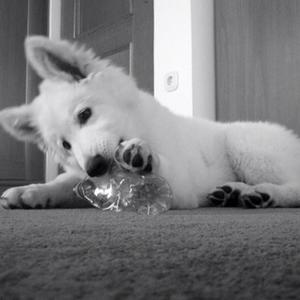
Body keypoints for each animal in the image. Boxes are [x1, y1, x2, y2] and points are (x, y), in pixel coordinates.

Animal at [0, 35, 300, 209]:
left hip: (245, 147)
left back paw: (265, 193)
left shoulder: (184, 187)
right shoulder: (87, 178)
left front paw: (144, 159)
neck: (139, 126)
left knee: (294, 184)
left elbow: (164, 177)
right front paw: (31, 191)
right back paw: (233, 192)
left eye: (84, 114)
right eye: (65, 145)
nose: (95, 167)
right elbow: (65, 181)